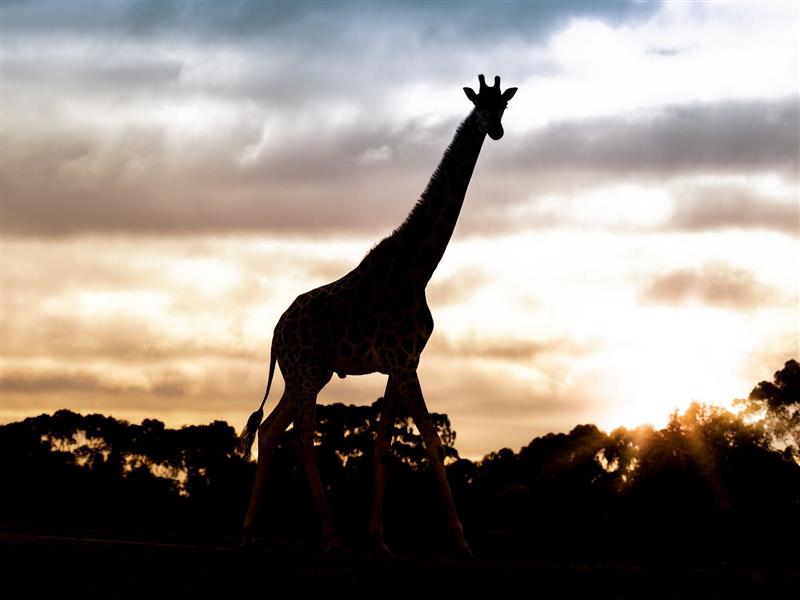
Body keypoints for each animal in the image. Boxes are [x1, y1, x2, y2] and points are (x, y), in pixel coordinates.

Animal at [239, 74, 517, 556]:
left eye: (502, 106)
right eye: (479, 105)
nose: (495, 130)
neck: (419, 267)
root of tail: (274, 333)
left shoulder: (401, 363)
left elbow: (384, 441)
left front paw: (378, 538)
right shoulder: (404, 361)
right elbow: (430, 439)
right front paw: (460, 540)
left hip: (309, 373)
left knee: (271, 430)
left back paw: (251, 530)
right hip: (305, 372)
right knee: (299, 437)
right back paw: (331, 536)